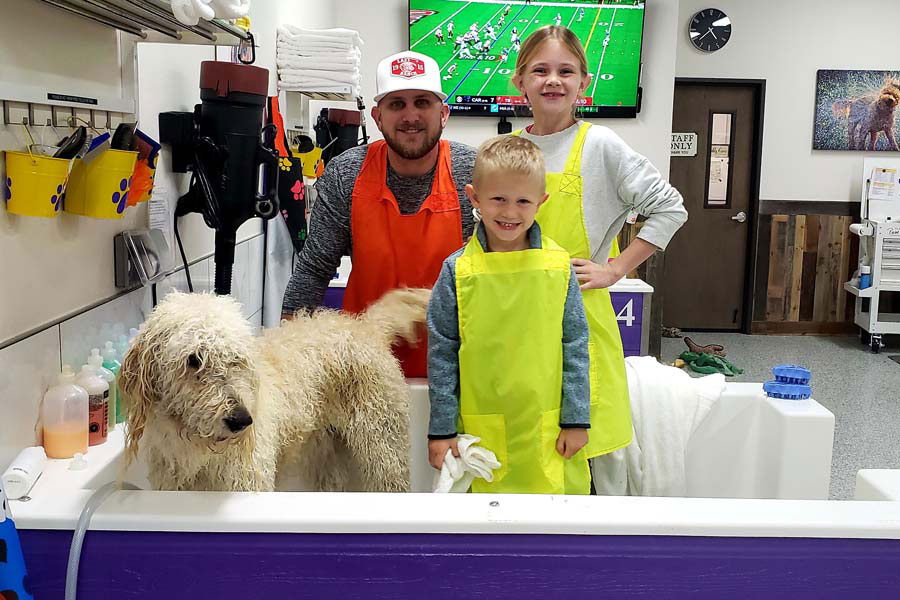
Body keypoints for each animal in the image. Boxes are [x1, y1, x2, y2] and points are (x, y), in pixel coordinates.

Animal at [118, 290, 428, 492]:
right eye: (194, 359)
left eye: (237, 359)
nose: (242, 420)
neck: (198, 447)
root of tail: (367, 328)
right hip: (325, 457)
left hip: (384, 449)